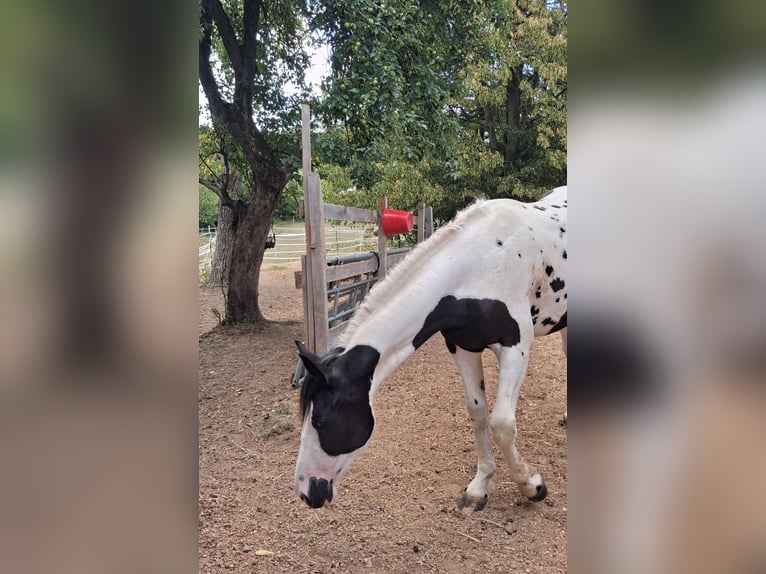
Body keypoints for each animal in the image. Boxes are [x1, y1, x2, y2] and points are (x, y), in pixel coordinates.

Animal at [295, 186, 567, 510]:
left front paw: (532, 486)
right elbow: (478, 413)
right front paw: (480, 486)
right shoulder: (462, 347)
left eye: (320, 420)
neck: (483, 262)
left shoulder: (516, 348)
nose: (306, 490)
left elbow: (502, 423)